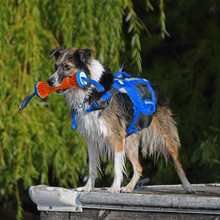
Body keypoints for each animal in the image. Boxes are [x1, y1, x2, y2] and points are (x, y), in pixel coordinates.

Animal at [47, 47, 195, 193]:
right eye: (55, 66)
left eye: (67, 66)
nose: (49, 81)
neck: (92, 91)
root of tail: (154, 85)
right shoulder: (92, 138)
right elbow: (92, 167)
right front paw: (88, 187)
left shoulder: (116, 137)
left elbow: (117, 167)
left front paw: (114, 188)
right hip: (129, 141)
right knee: (139, 168)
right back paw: (129, 187)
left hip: (165, 137)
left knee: (177, 163)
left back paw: (188, 186)